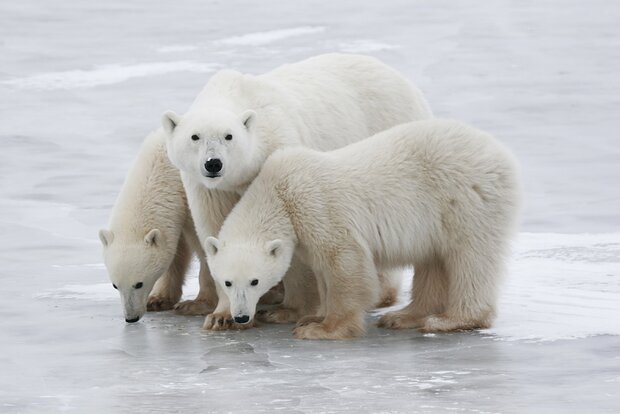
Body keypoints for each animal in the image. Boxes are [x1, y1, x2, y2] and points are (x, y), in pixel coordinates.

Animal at [162, 52, 434, 330]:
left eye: (229, 136)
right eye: (195, 137)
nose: (213, 163)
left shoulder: (277, 153)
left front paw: (288, 310)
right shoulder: (207, 188)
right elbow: (216, 229)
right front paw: (222, 315)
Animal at [202, 119, 520, 340]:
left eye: (255, 281)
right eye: (227, 282)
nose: (241, 317)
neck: (279, 192)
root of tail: (500, 152)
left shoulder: (317, 208)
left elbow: (344, 262)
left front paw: (322, 329)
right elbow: (321, 270)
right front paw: (312, 318)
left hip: (464, 198)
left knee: (470, 257)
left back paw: (452, 320)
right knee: (434, 261)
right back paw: (404, 316)